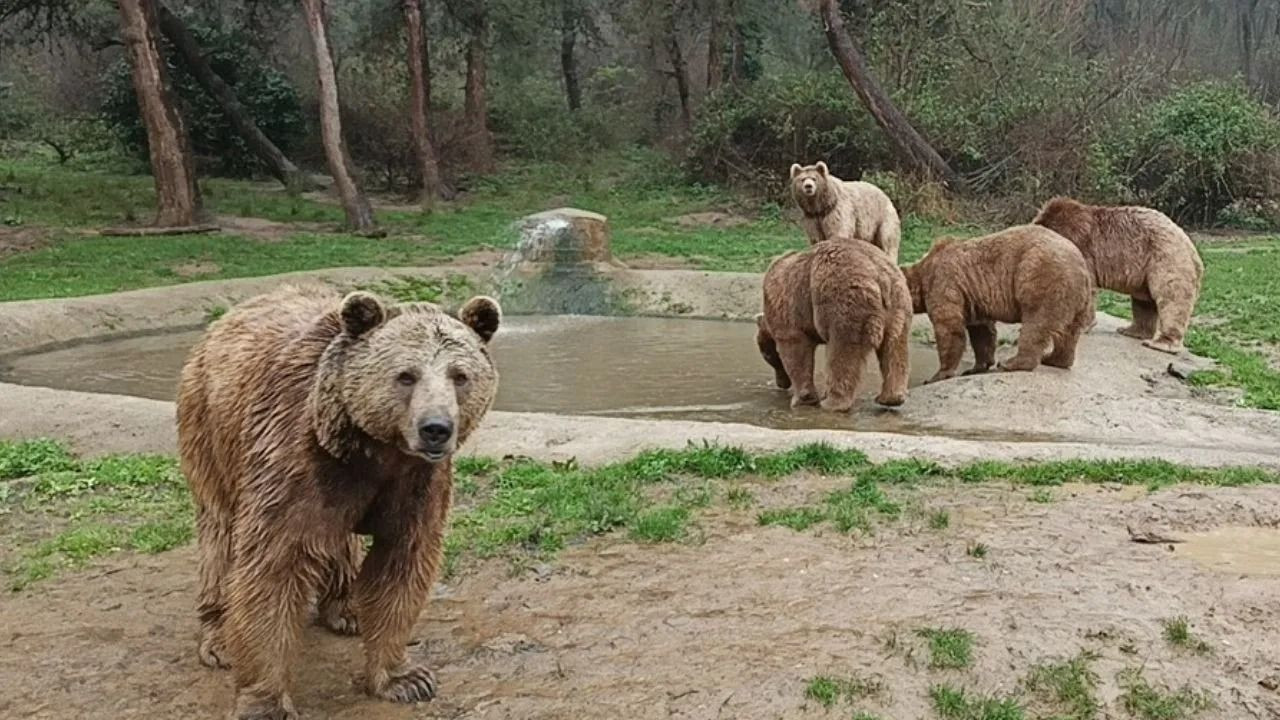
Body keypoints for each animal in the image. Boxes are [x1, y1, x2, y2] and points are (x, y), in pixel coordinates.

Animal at [175, 285, 499, 717]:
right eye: (406, 375)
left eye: (459, 375)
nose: (436, 429)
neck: (372, 451)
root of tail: (229, 314)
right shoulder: (291, 459)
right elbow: (271, 569)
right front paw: (266, 701)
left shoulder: (416, 484)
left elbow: (402, 566)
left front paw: (405, 678)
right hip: (210, 429)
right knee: (219, 533)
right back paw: (219, 638)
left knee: (342, 541)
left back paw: (346, 610)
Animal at [757, 239, 911, 409]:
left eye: (767, 356)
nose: (781, 383)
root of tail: (880, 273)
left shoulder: (787, 312)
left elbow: (795, 350)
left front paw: (802, 398)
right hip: (899, 304)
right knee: (895, 347)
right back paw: (890, 397)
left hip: (844, 297)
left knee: (843, 350)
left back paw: (832, 402)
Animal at [901, 225, 1090, 384]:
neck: (922, 273)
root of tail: (1081, 265)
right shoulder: (974, 297)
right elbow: (982, 331)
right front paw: (977, 367)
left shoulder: (944, 282)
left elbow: (949, 328)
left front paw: (937, 375)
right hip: (1077, 298)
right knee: (1069, 331)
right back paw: (1054, 359)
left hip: (1041, 275)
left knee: (1036, 322)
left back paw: (1011, 363)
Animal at [1034, 196, 1203, 353]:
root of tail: (1191, 247)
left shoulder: (1081, 247)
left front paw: (1079, 326)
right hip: (1144, 273)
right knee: (1144, 302)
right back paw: (1131, 330)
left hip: (1166, 259)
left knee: (1171, 298)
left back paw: (1161, 342)